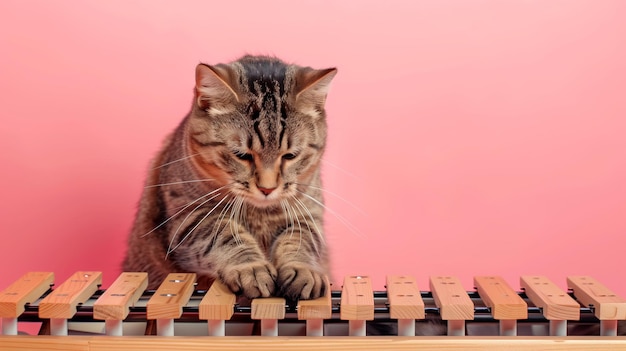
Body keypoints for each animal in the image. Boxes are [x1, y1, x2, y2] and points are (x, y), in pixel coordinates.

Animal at [123, 54, 336, 300]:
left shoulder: (308, 215)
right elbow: (226, 236)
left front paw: (303, 270)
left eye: (290, 155)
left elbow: (300, 242)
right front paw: (251, 268)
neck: (259, 214)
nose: (267, 189)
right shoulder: (190, 216)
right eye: (242, 155)